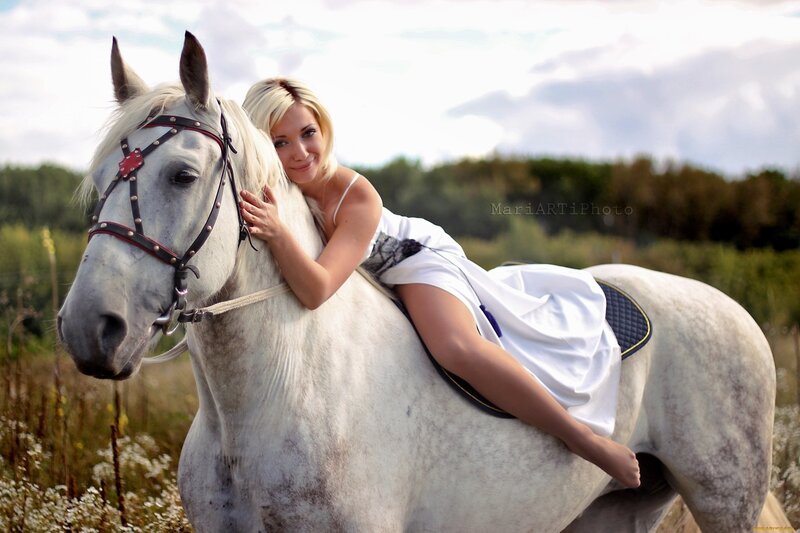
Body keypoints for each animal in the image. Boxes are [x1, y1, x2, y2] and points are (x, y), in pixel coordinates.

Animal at [57, 32, 776, 532]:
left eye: (182, 175)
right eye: (98, 181)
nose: (91, 328)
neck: (277, 394)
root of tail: (729, 307)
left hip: (727, 497)